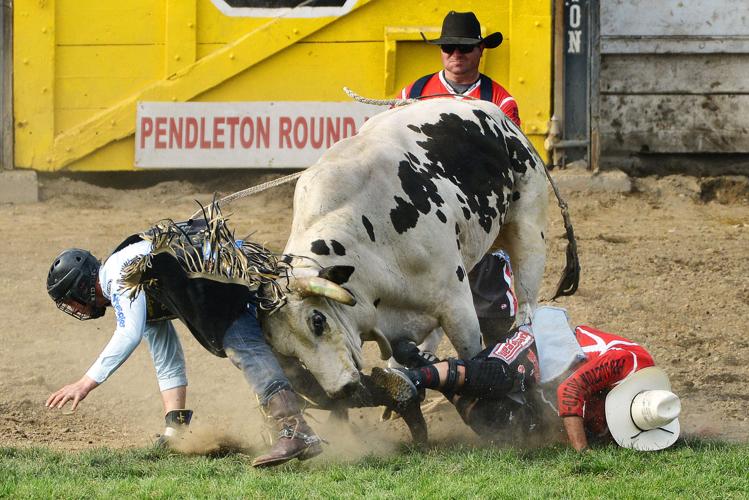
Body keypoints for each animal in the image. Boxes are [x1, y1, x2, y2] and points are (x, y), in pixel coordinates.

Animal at [262, 98, 580, 398]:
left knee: (526, 303)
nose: (341, 390)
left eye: (317, 321)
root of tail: (497, 114)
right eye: (290, 351)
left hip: (528, 228)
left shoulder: (457, 303)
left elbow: (473, 356)